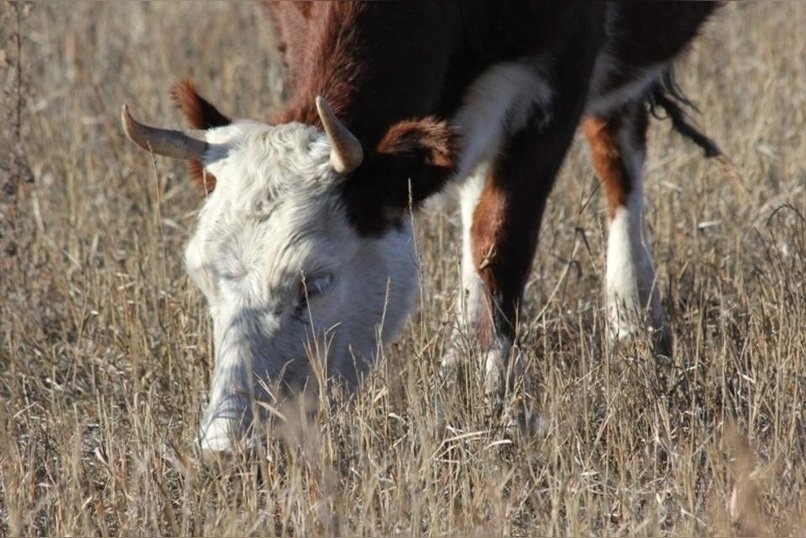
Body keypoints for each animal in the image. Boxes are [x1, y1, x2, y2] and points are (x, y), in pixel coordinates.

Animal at [123, 1, 724, 452]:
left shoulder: (563, 73)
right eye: (201, 278)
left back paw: (632, 318)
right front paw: (460, 377)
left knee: (614, 149)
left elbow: (501, 239)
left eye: (314, 283)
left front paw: (494, 404)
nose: (225, 445)